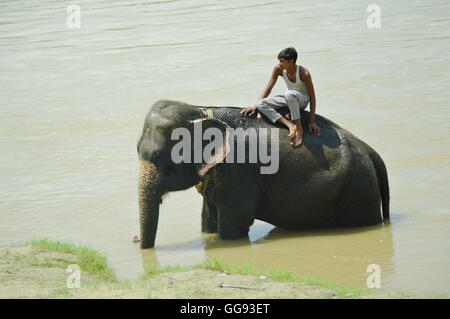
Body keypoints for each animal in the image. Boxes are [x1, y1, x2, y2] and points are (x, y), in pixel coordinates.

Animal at [136, 100, 386, 250]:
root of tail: (368, 149)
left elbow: (234, 226)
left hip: (358, 190)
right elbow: (208, 219)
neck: (200, 109)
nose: (136, 241)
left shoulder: (238, 172)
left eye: (163, 161)